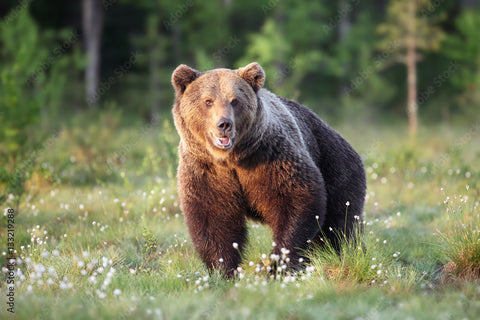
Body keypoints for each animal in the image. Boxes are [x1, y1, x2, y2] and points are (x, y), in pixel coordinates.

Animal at [171, 62, 366, 278]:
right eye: (208, 101)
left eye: (235, 101)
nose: (224, 124)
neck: (231, 159)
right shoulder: (206, 171)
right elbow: (213, 218)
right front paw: (223, 270)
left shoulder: (270, 158)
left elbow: (295, 200)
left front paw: (278, 266)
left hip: (335, 164)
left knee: (339, 223)